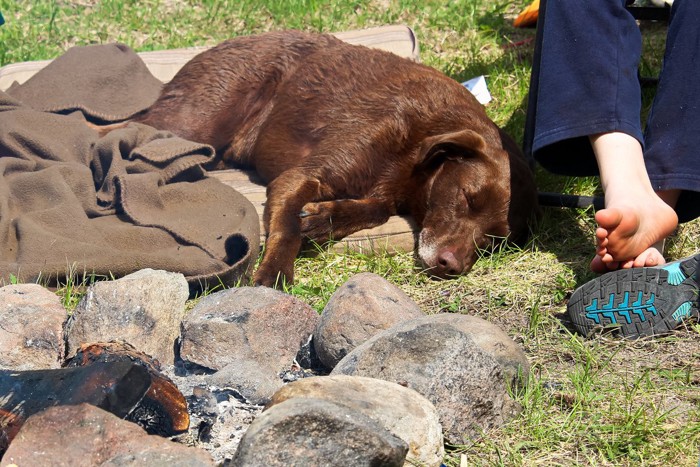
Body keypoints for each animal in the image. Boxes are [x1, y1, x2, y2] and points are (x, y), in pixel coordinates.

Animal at [130, 31, 536, 288]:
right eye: (467, 198)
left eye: (493, 241)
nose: (451, 266)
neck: (416, 144)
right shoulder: (299, 176)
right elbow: (288, 227)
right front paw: (274, 274)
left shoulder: (385, 192)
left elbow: (376, 209)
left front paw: (321, 218)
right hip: (194, 121)